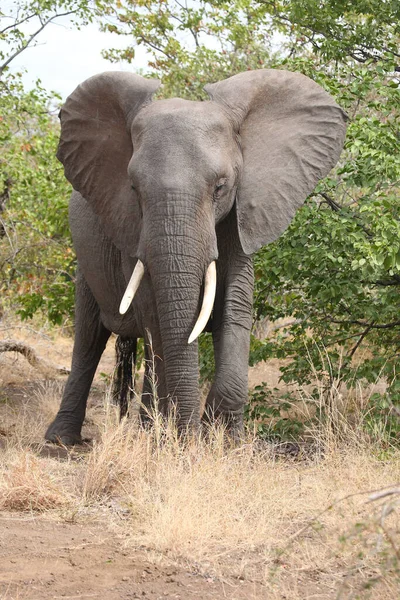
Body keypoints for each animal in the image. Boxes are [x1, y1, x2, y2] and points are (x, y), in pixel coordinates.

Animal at [45, 69, 346, 446]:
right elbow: (153, 311)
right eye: (133, 189)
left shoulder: (240, 217)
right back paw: (62, 440)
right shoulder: (131, 228)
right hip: (86, 263)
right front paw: (178, 440)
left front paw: (224, 441)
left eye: (221, 186)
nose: (190, 436)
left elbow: (235, 305)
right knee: (89, 339)